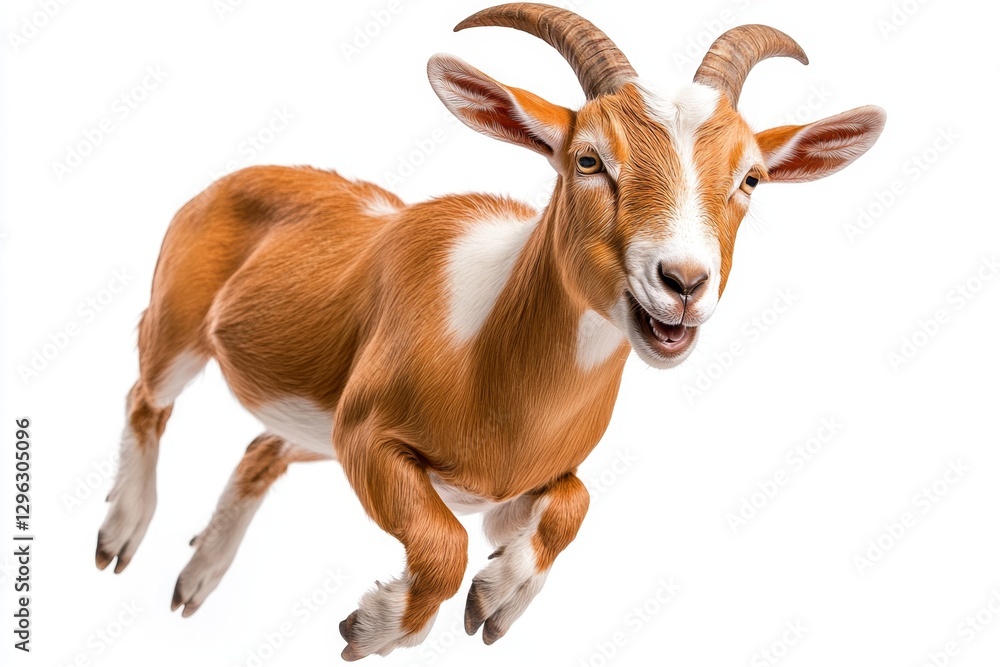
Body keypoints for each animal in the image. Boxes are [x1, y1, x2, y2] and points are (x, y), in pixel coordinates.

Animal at [95, 3, 885, 660]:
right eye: (588, 159)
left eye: (750, 178)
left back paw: (198, 577)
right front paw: (375, 626)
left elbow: (571, 505)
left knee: (261, 448)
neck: (488, 361)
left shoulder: (504, 486)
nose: (683, 282)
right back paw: (122, 535)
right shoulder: (364, 435)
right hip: (181, 325)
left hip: (311, 428)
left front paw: (497, 599)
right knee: (146, 396)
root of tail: (233, 177)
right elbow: (442, 542)